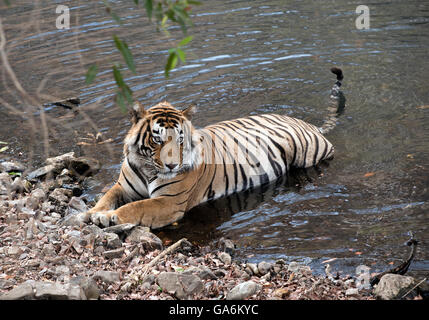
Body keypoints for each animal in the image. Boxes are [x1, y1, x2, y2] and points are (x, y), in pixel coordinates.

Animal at [77, 67, 344, 229]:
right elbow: (107, 196)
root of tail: (307, 123)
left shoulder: (169, 202)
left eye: (180, 139)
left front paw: (109, 217)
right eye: (157, 139)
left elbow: (135, 207)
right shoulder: (123, 186)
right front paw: (91, 212)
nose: (172, 165)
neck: (147, 167)